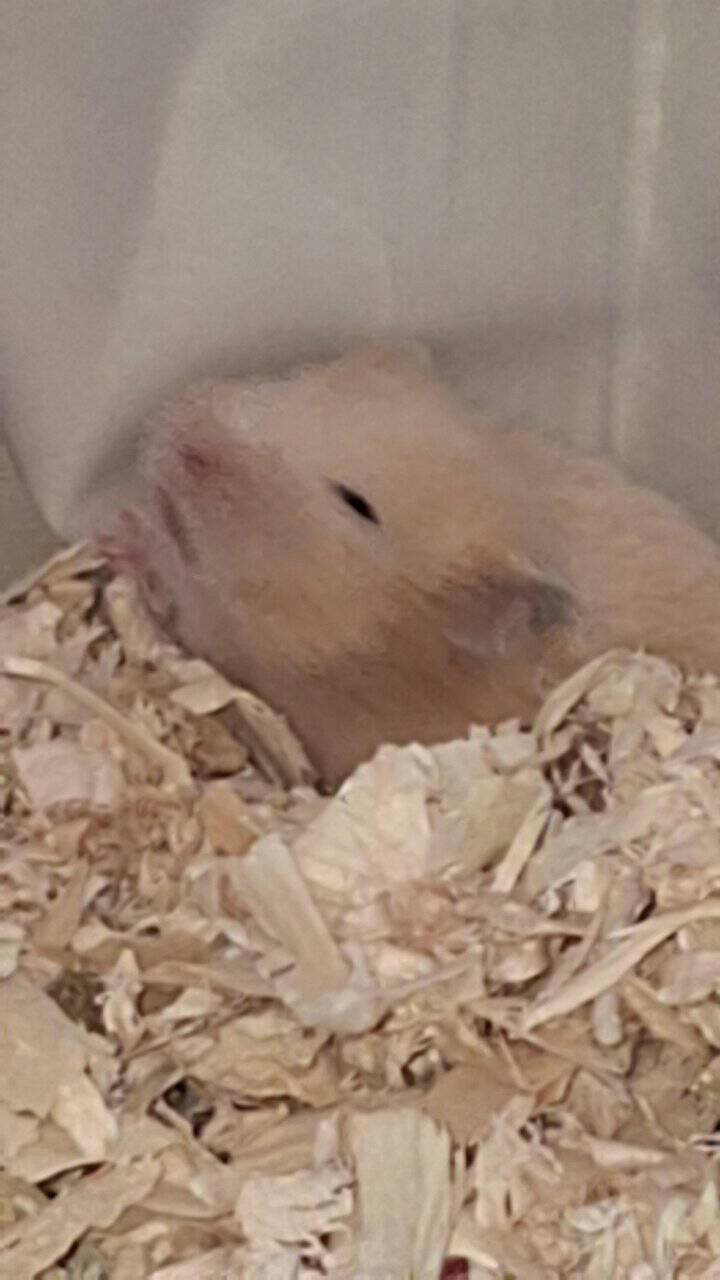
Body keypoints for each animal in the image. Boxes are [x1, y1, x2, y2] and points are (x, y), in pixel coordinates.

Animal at [105, 342, 720, 785]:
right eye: (291, 380)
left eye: (357, 503)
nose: (169, 428)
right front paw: (119, 528)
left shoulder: (240, 642)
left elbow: (176, 598)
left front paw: (122, 538)